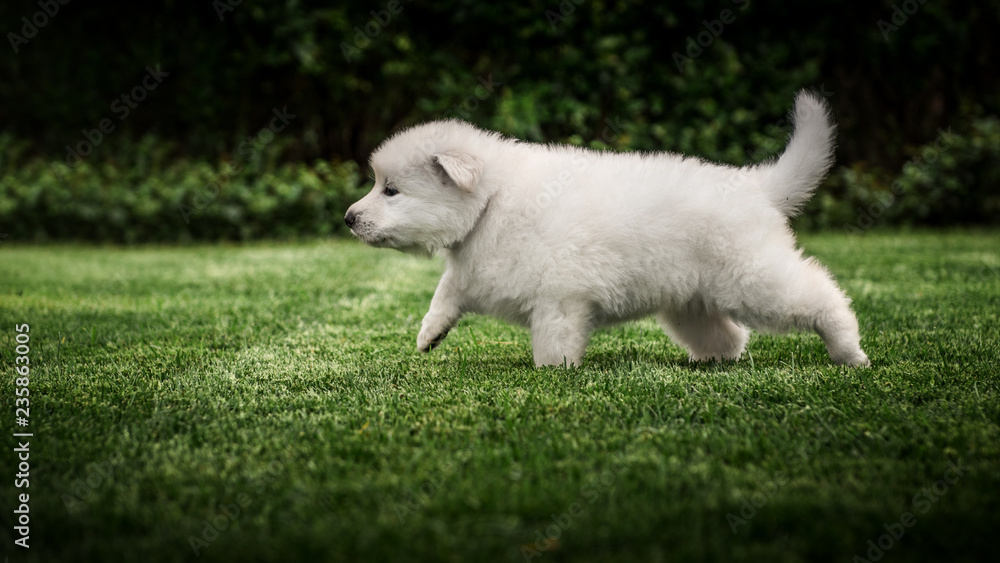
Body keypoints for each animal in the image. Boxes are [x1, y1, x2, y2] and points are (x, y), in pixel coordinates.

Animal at [348, 90, 872, 368]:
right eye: (378, 185)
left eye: (391, 190)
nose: (349, 218)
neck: (491, 203)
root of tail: (755, 184)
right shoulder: (474, 269)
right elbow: (447, 290)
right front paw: (429, 335)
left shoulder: (560, 298)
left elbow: (552, 339)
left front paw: (553, 372)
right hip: (691, 300)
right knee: (729, 336)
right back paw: (713, 361)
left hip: (755, 278)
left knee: (822, 295)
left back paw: (849, 351)